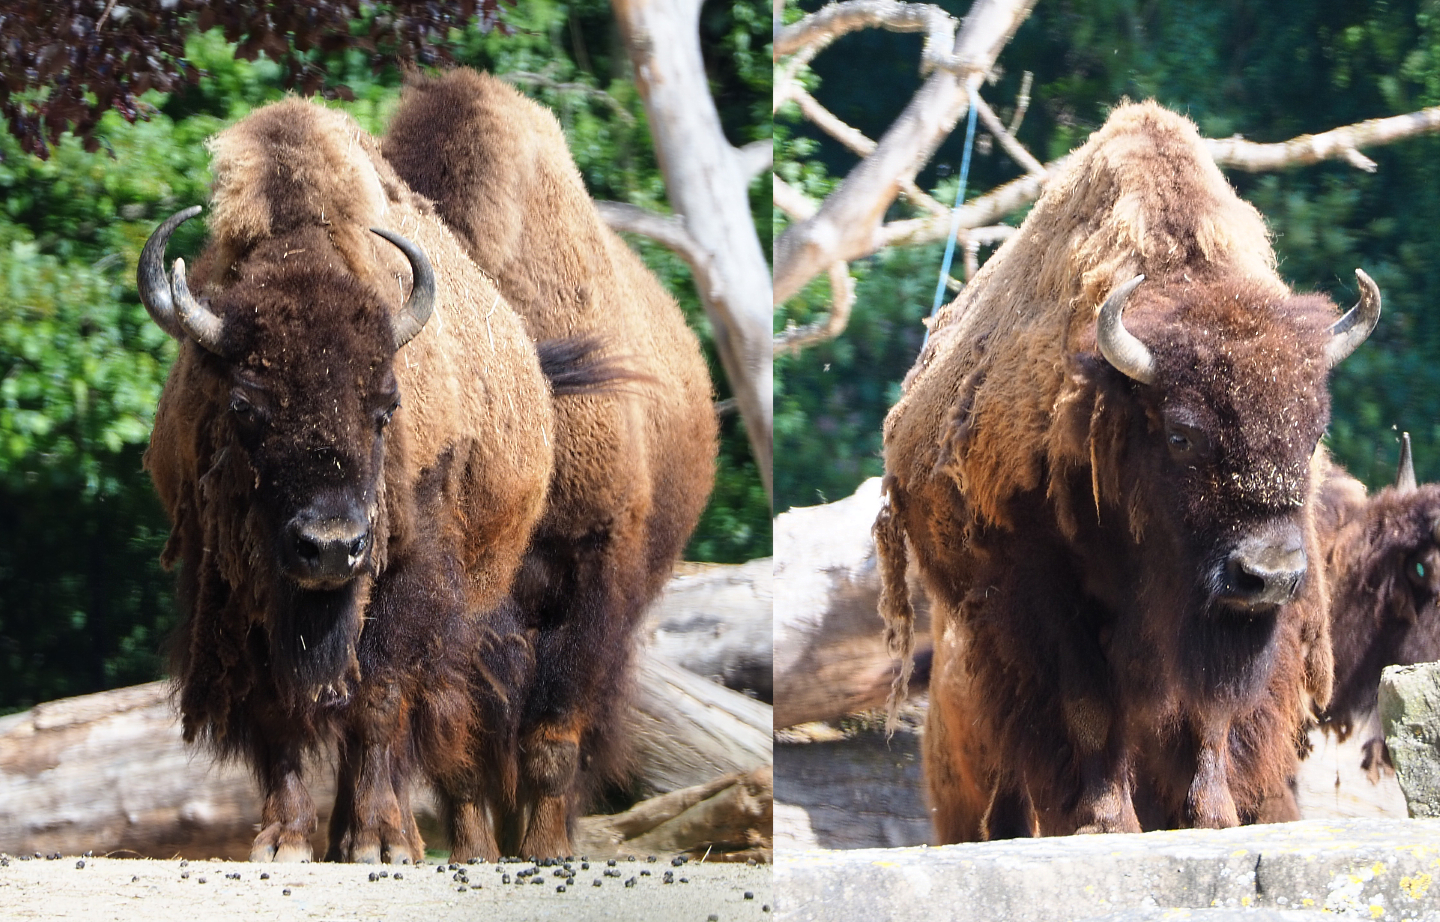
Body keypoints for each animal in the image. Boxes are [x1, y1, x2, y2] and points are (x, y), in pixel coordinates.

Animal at [876, 102, 1379, 840]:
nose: (1266, 575)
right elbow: (1087, 704)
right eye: (1181, 434)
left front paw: (1212, 817)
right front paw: (1106, 822)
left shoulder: (1220, 622)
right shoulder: (1046, 594)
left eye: (1314, 434)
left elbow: (1209, 713)